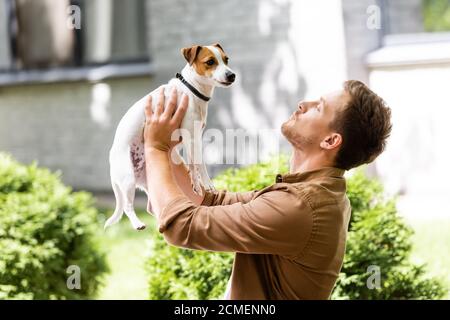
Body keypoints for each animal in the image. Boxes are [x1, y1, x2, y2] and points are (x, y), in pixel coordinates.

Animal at [103, 44, 234, 230]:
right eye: (210, 62)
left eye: (226, 59)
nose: (232, 75)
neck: (191, 89)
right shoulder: (191, 136)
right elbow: (199, 164)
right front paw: (206, 184)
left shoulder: (192, 138)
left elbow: (192, 165)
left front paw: (195, 184)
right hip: (127, 179)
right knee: (128, 206)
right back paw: (137, 223)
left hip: (147, 180)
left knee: (153, 205)